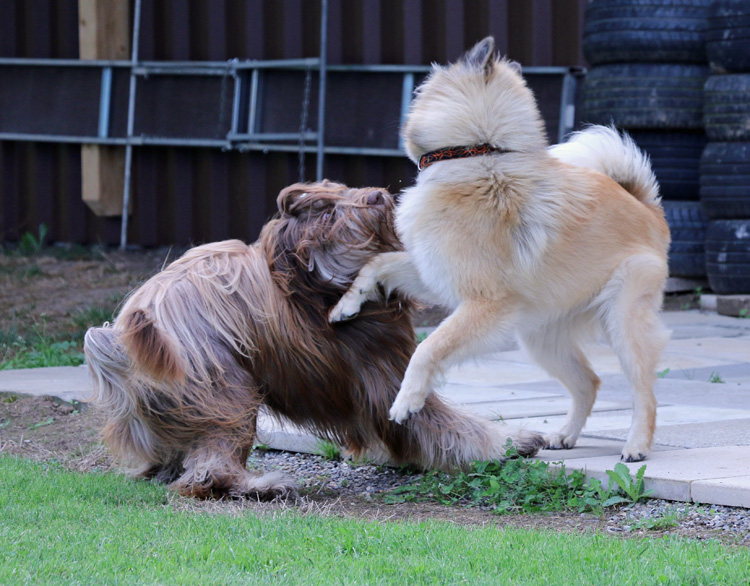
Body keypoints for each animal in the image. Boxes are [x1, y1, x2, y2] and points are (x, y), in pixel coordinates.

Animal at [83, 179, 548, 498]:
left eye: (339, 193)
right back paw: (264, 485)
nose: (377, 195)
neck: (317, 284)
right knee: (210, 470)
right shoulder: (379, 372)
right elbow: (443, 423)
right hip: (223, 386)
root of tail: (118, 347)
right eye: (328, 215)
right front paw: (510, 442)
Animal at [332, 37, 672, 460]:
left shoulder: (483, 305)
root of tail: (648, 208)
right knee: (588, 382)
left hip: (624, 325)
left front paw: (407, 400)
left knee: (645, 394)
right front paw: (346, 304)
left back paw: (636, 445)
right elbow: (378, 263)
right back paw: (565, 435)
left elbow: (428, 349)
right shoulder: (435, 276)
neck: (478, 154)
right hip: (541, 339)